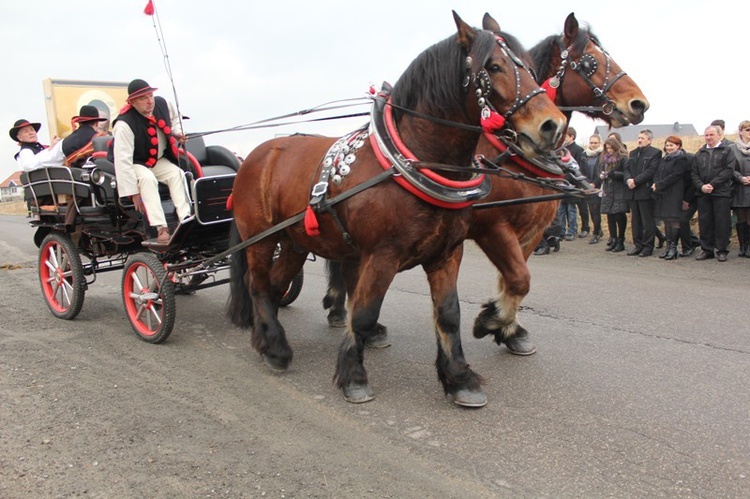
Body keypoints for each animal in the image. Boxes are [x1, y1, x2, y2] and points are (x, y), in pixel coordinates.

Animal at [226, 12, 568, 406]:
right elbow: (363, 314)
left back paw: (267, 335)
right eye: (494, 66)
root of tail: (254, 156)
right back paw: (275, 347)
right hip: (260, 238)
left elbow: (449, 314)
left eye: (530, 67)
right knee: (257, 283)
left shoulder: (447, 252)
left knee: (275, 283)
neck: (413, 160)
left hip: (296, 241)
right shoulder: (383, 254)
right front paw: (354, 376)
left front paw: (459, 377)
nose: (553, 125)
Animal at [324, 12, 652, 356]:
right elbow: (519, 278)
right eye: (590, 62)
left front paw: (509, 329)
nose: (638, 104)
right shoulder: (492, 226)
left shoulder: (532, 231)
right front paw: (492, 321)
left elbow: (516, 280)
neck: (508, 153)